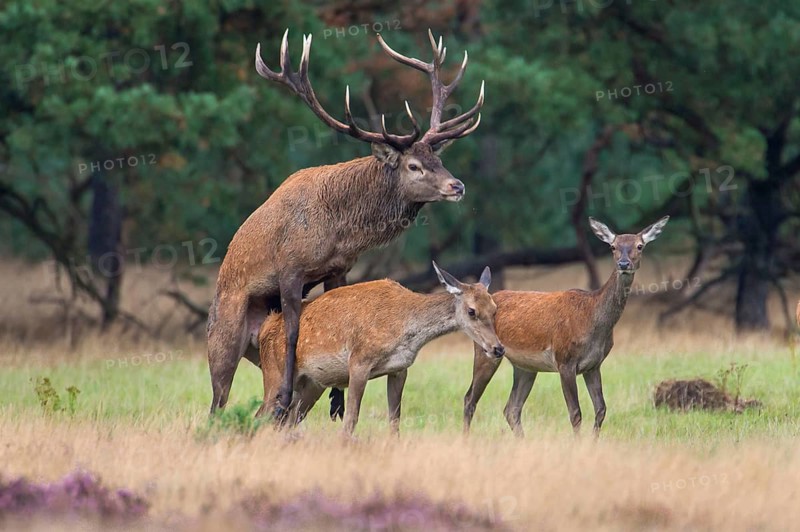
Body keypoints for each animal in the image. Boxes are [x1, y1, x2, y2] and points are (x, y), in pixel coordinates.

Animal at [207, 29, 484, 420]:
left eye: (438, 159)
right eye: (413, 165)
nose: (457, 186)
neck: (338, 230)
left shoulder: (338, 268)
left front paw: (337, 400)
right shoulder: (290, 267)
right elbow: (292, 332)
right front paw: (288, 394)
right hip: (223, 337)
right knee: (217, 399)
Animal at [256, 262, 505, 435]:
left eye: (494, 308)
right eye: (472, 311)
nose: (498, 348)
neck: (405, 329)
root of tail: (265, 329)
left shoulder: (399, 369)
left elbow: (394, 420)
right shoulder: (359, 361)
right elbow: (351, 420)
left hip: (310, 385)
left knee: (286, 420)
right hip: (275, 374)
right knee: (262, 415)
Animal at [462, 216, 670, 437]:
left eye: (640, 246)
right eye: (613, 246)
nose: (623, 264)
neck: (593, 322)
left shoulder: (594, 365)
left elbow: (601, 409)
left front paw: (592, 442)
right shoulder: (565, 360)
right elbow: (575, 413)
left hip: (525, 366)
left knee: (511, 408)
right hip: (485, 351)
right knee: (470, 399)